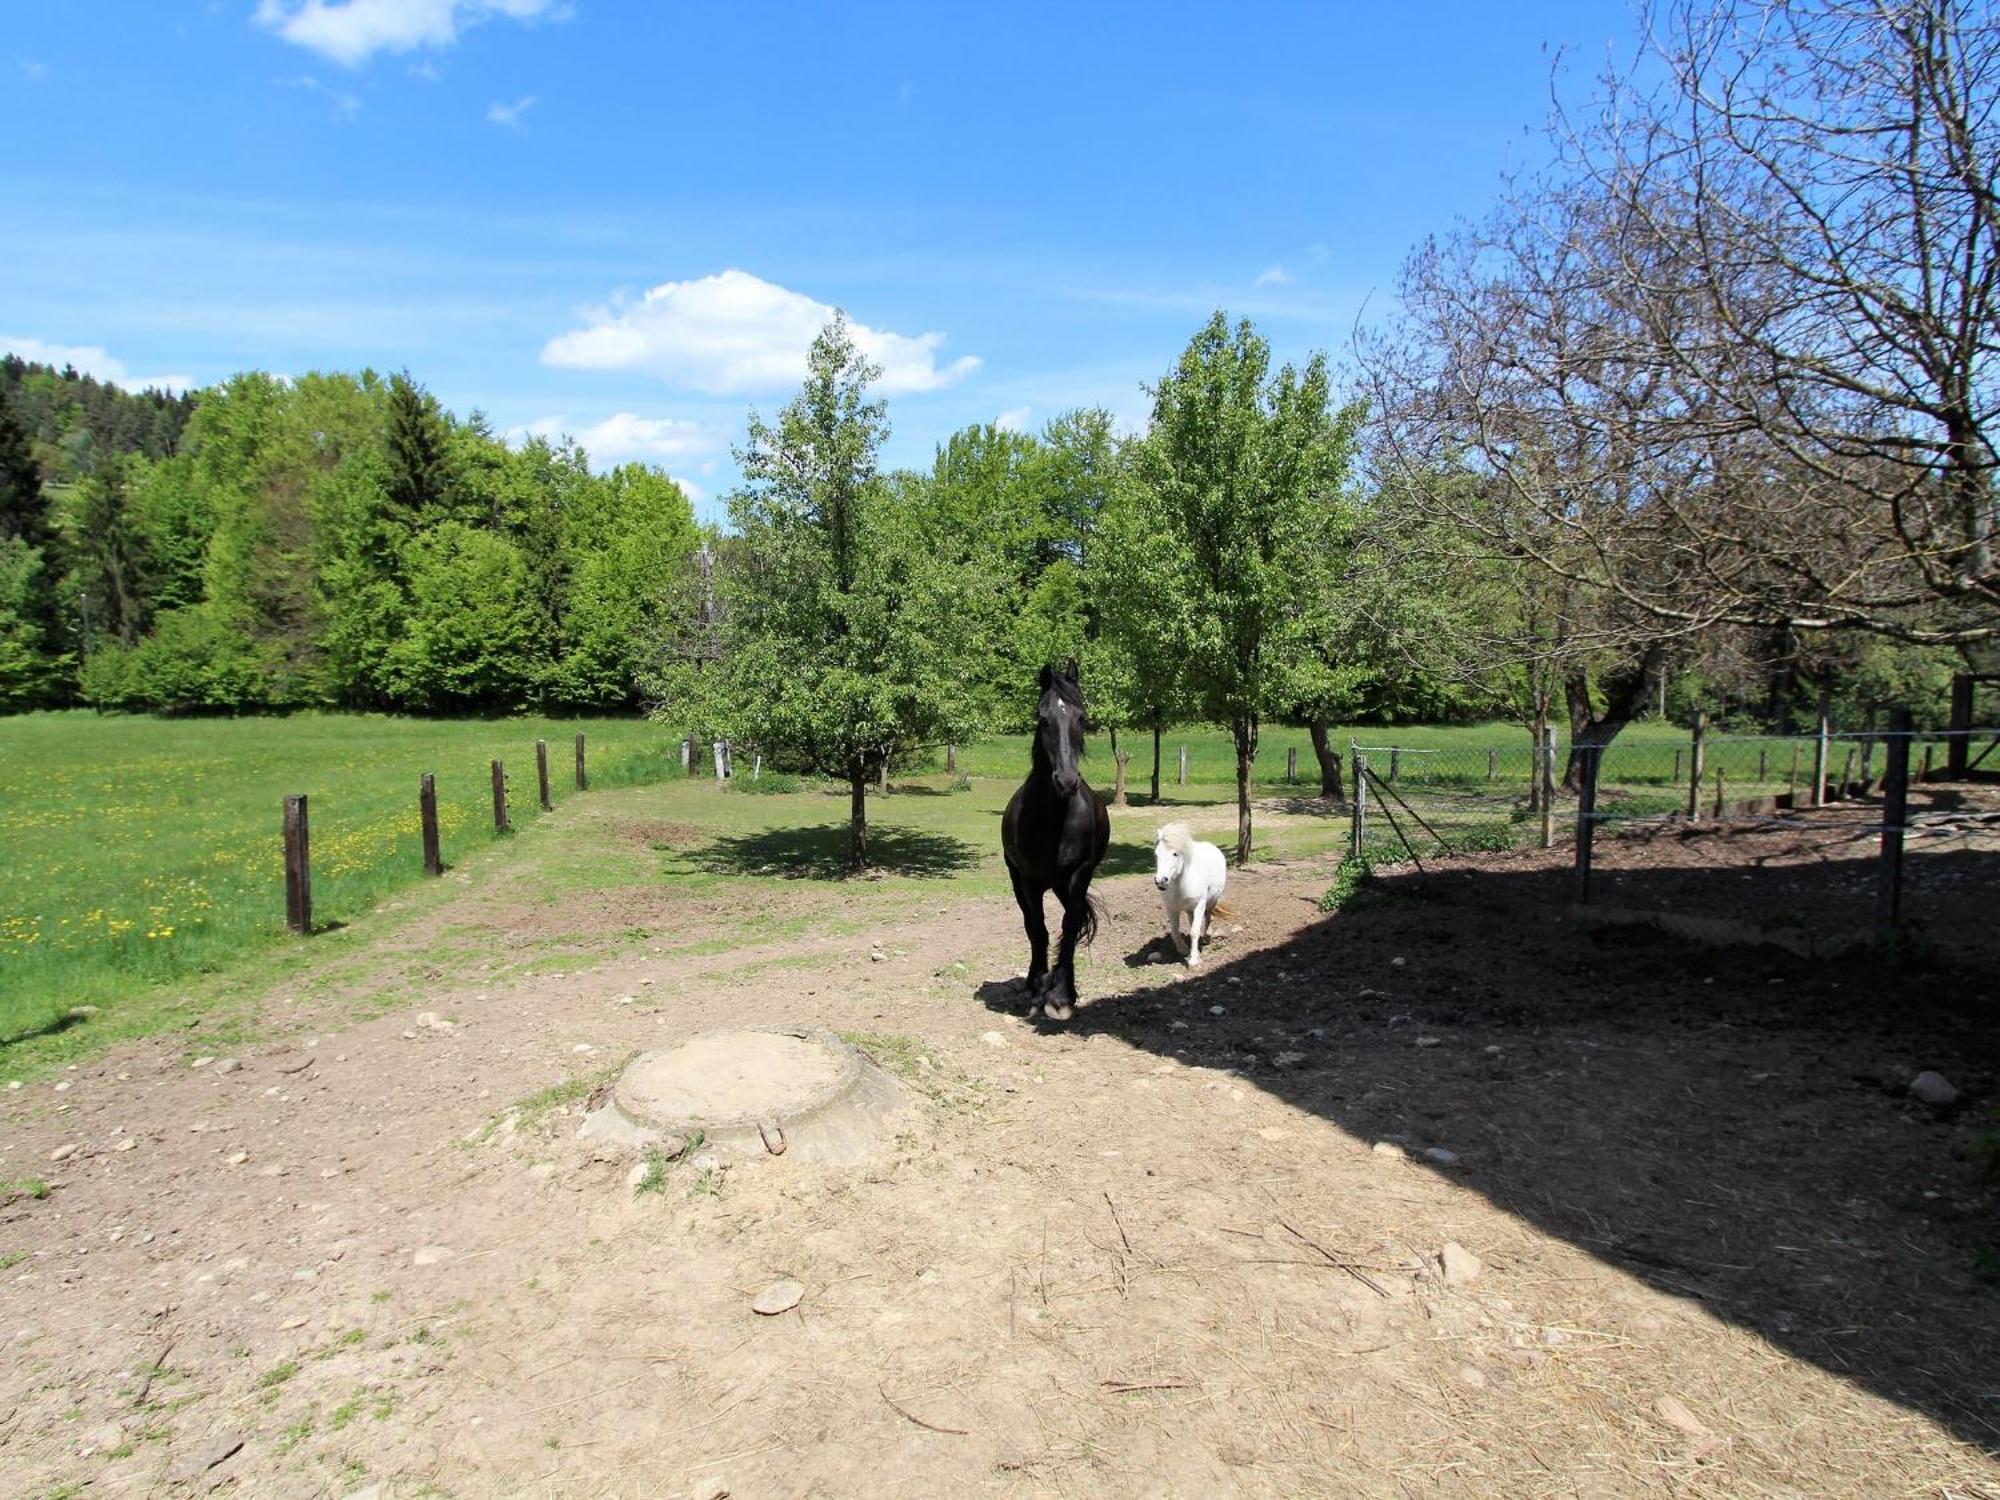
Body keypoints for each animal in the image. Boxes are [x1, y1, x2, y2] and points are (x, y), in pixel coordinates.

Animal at [1000, 668, 1112, 1024]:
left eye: (1081, 717)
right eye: (1043, 717)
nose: (1065, 780)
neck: (1055, 819)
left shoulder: (1080, 874)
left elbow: (1070, 925)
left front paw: (1062, 994)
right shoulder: (1029, 879)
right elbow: (1038, 928)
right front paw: (1038, 989)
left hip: (1064, 884)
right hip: (1019, 880)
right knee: (1031, 925)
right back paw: (1035, 980)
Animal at [1152, 828, 1224, 968]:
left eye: (1175, 854)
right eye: (1156, 854)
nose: (1160, 881)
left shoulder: (1199, 905)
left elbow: (1195, 931)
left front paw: (1193, 959)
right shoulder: (1171, 908)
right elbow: (1175, 932)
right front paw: (1184, 950)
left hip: (1212, 901)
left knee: (1208, 916)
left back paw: (1207, 936)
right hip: (1189, 909)